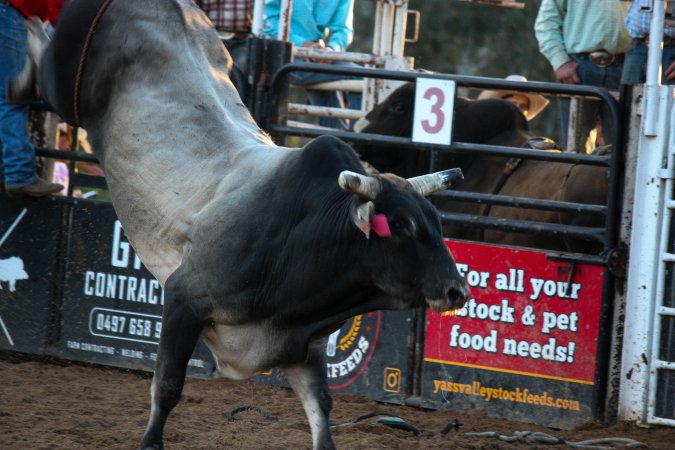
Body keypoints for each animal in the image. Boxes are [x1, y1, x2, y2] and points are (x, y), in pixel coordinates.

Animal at [12, 1, 470, 449]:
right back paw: (26, 50)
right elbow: (168, 387)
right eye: (401, 225)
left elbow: (320, 411)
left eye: (436, 223)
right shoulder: (183, 298)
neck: (300, 239)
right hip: (66, 84)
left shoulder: (301, 349)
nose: (457, 290)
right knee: (42, 71)